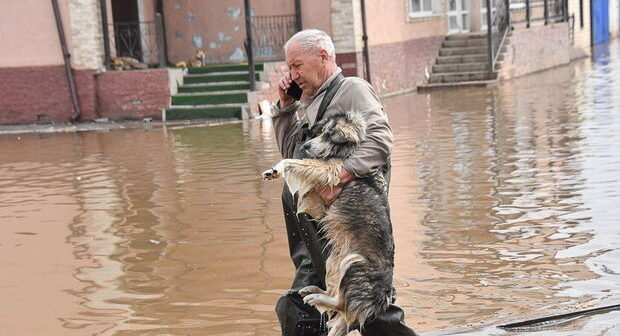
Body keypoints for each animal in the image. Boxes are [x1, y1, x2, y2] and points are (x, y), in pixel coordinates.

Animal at [262, 111, 392, 334]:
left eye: (329, 135)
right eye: (320, 132)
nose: (306, 145)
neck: (348, 149)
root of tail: (379, 300)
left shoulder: (331, 170)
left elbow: (294, 161)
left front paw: (278, 168)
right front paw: (274, 171)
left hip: (353, 262)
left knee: (339, 303)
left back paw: (316, 296)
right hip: (335, 259)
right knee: (337, 297)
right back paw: (313, 290)